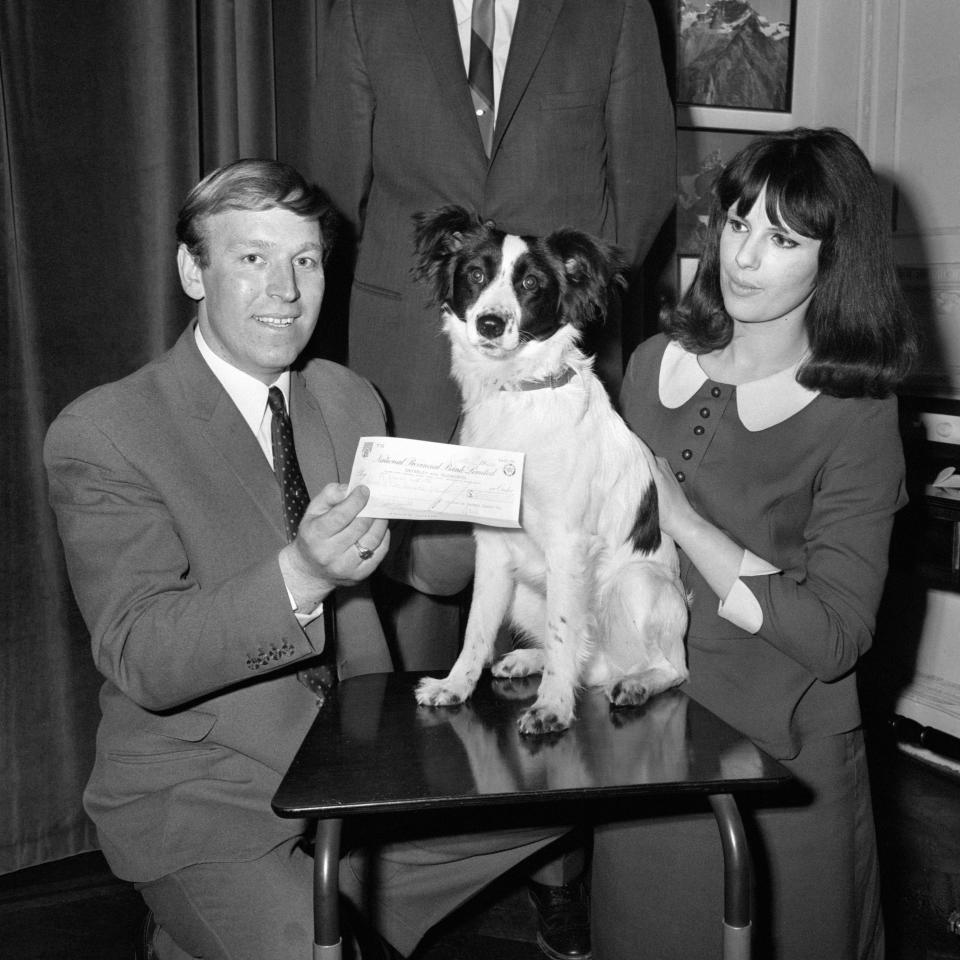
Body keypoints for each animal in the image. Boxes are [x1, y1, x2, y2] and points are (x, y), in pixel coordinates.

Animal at [408, 208, 688, 736]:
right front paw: (455, 685)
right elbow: (476, 631)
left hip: (636, 585)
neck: (519, 395)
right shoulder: (493, 548)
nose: (490, 323)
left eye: (531, 283)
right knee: (582, 659)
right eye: (475, 275)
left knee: (670, 668)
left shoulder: (568, 544)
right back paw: (528, 660)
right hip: (525, 590)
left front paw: (553, 707)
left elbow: (563, 634)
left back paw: (636, 684)